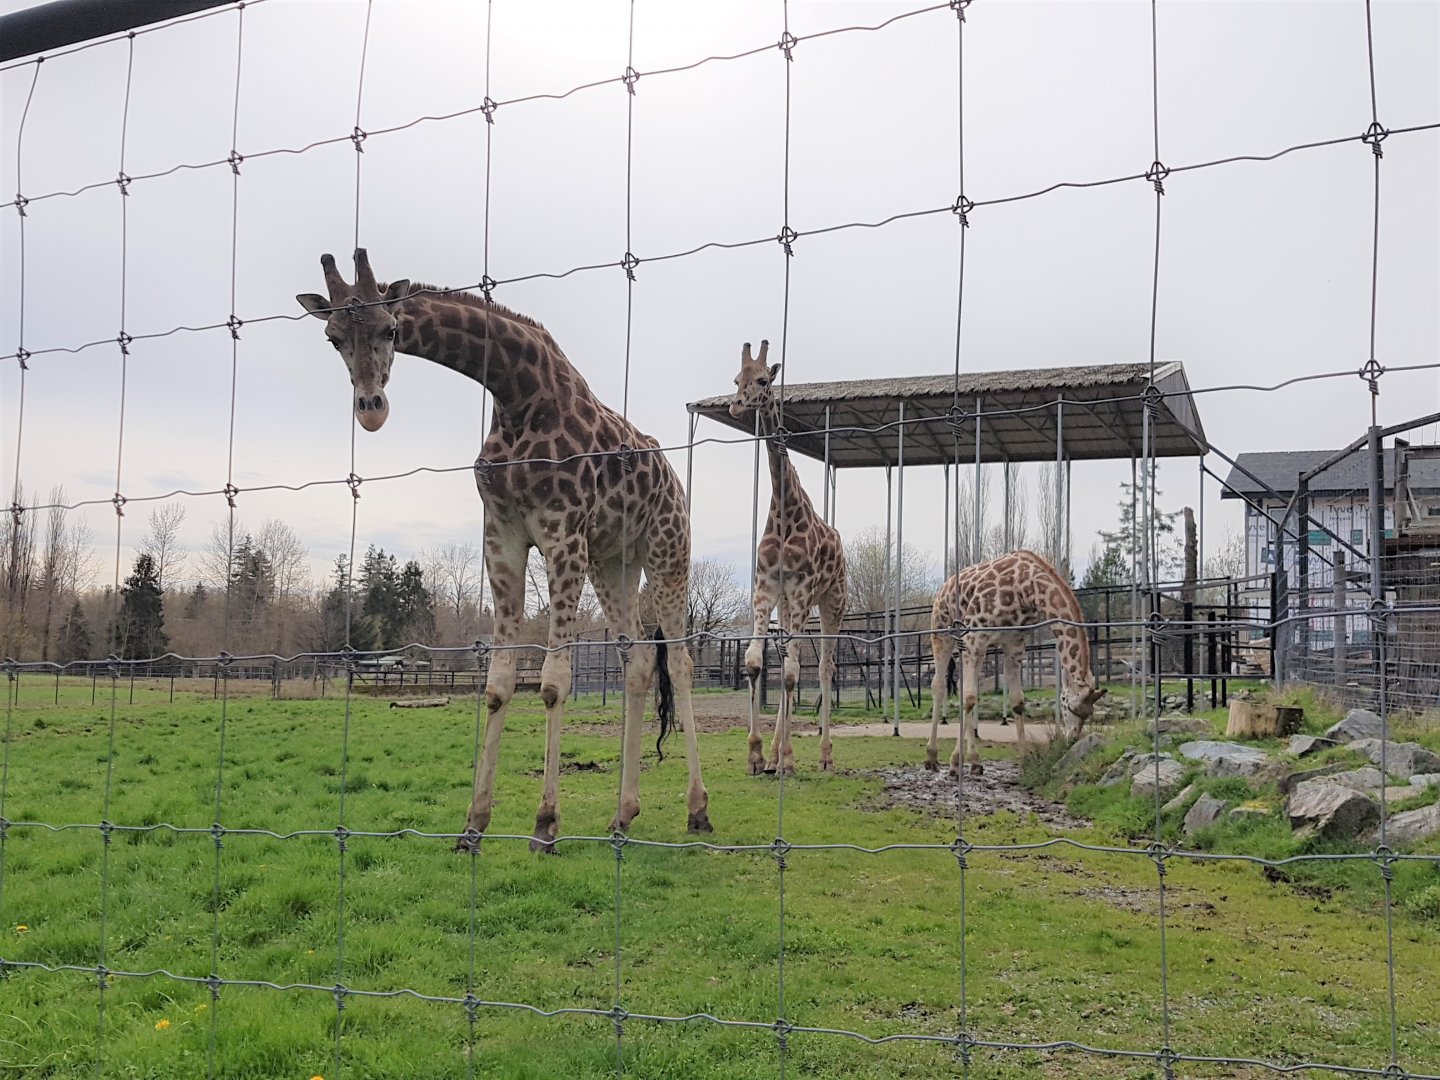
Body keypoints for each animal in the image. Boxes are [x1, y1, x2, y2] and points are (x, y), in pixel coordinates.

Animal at [297, 250, 711, 852]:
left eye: (390, 328)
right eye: (332, 338)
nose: (371, 409)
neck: (517, 391)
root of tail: (674, 478)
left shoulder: (563, 534)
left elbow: (554, 683)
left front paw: (546, 823)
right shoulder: (504, 537)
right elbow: (496, 685)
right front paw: (473, 825)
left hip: (666, 551)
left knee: (679, 661)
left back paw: (699, 810)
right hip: (614, 561)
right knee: (636, 661)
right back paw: (623, 814)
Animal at [729, 340, 848, 775]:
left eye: (764, 380)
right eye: (737, 379)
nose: (736, 406)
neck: (783, 509)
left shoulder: (800, 590)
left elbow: (796, 672)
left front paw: (788, 759)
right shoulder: (766, 587)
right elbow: (755, 662)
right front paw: (756, 754)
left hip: (832, 601)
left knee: (826, 668)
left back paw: (825, 756)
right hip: (789, 605)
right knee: (788, 660)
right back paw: (776, 753)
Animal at [926, 549, 1105, 778]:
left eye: (1089, 714)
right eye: (1071, 708)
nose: (1072, 739)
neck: (1026, 588)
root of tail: (945, 586)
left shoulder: (1014, 645)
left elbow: (1017, 701)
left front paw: (1026, 757)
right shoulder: (975, 637)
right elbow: (969, 698)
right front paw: (956, 762)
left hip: (970, 647)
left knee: (962, 686)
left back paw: (975, 761)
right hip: (942, 631)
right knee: (939, 686)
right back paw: (932, 757)